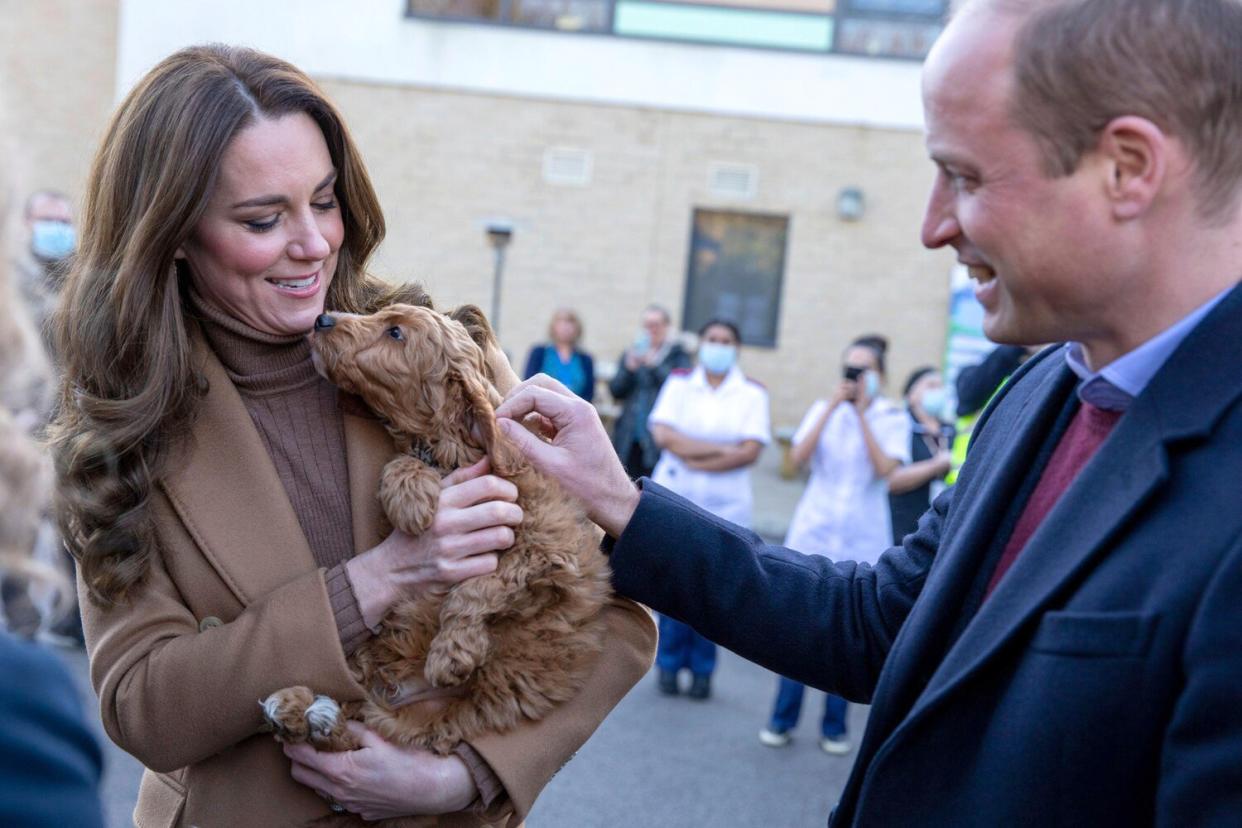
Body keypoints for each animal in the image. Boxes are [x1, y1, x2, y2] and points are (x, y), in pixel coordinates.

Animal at [262, 302, 611, 764]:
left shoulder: (548, 552)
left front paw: (450, 653)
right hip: (377, 656)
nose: (321, 320)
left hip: (435, 722)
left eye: (395, 333)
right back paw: (297, 707)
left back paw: (314, 715)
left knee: (375, 726)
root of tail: (391, 690)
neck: (450, 451)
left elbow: (480, 584)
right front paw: (411, 497)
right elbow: (401, 465)